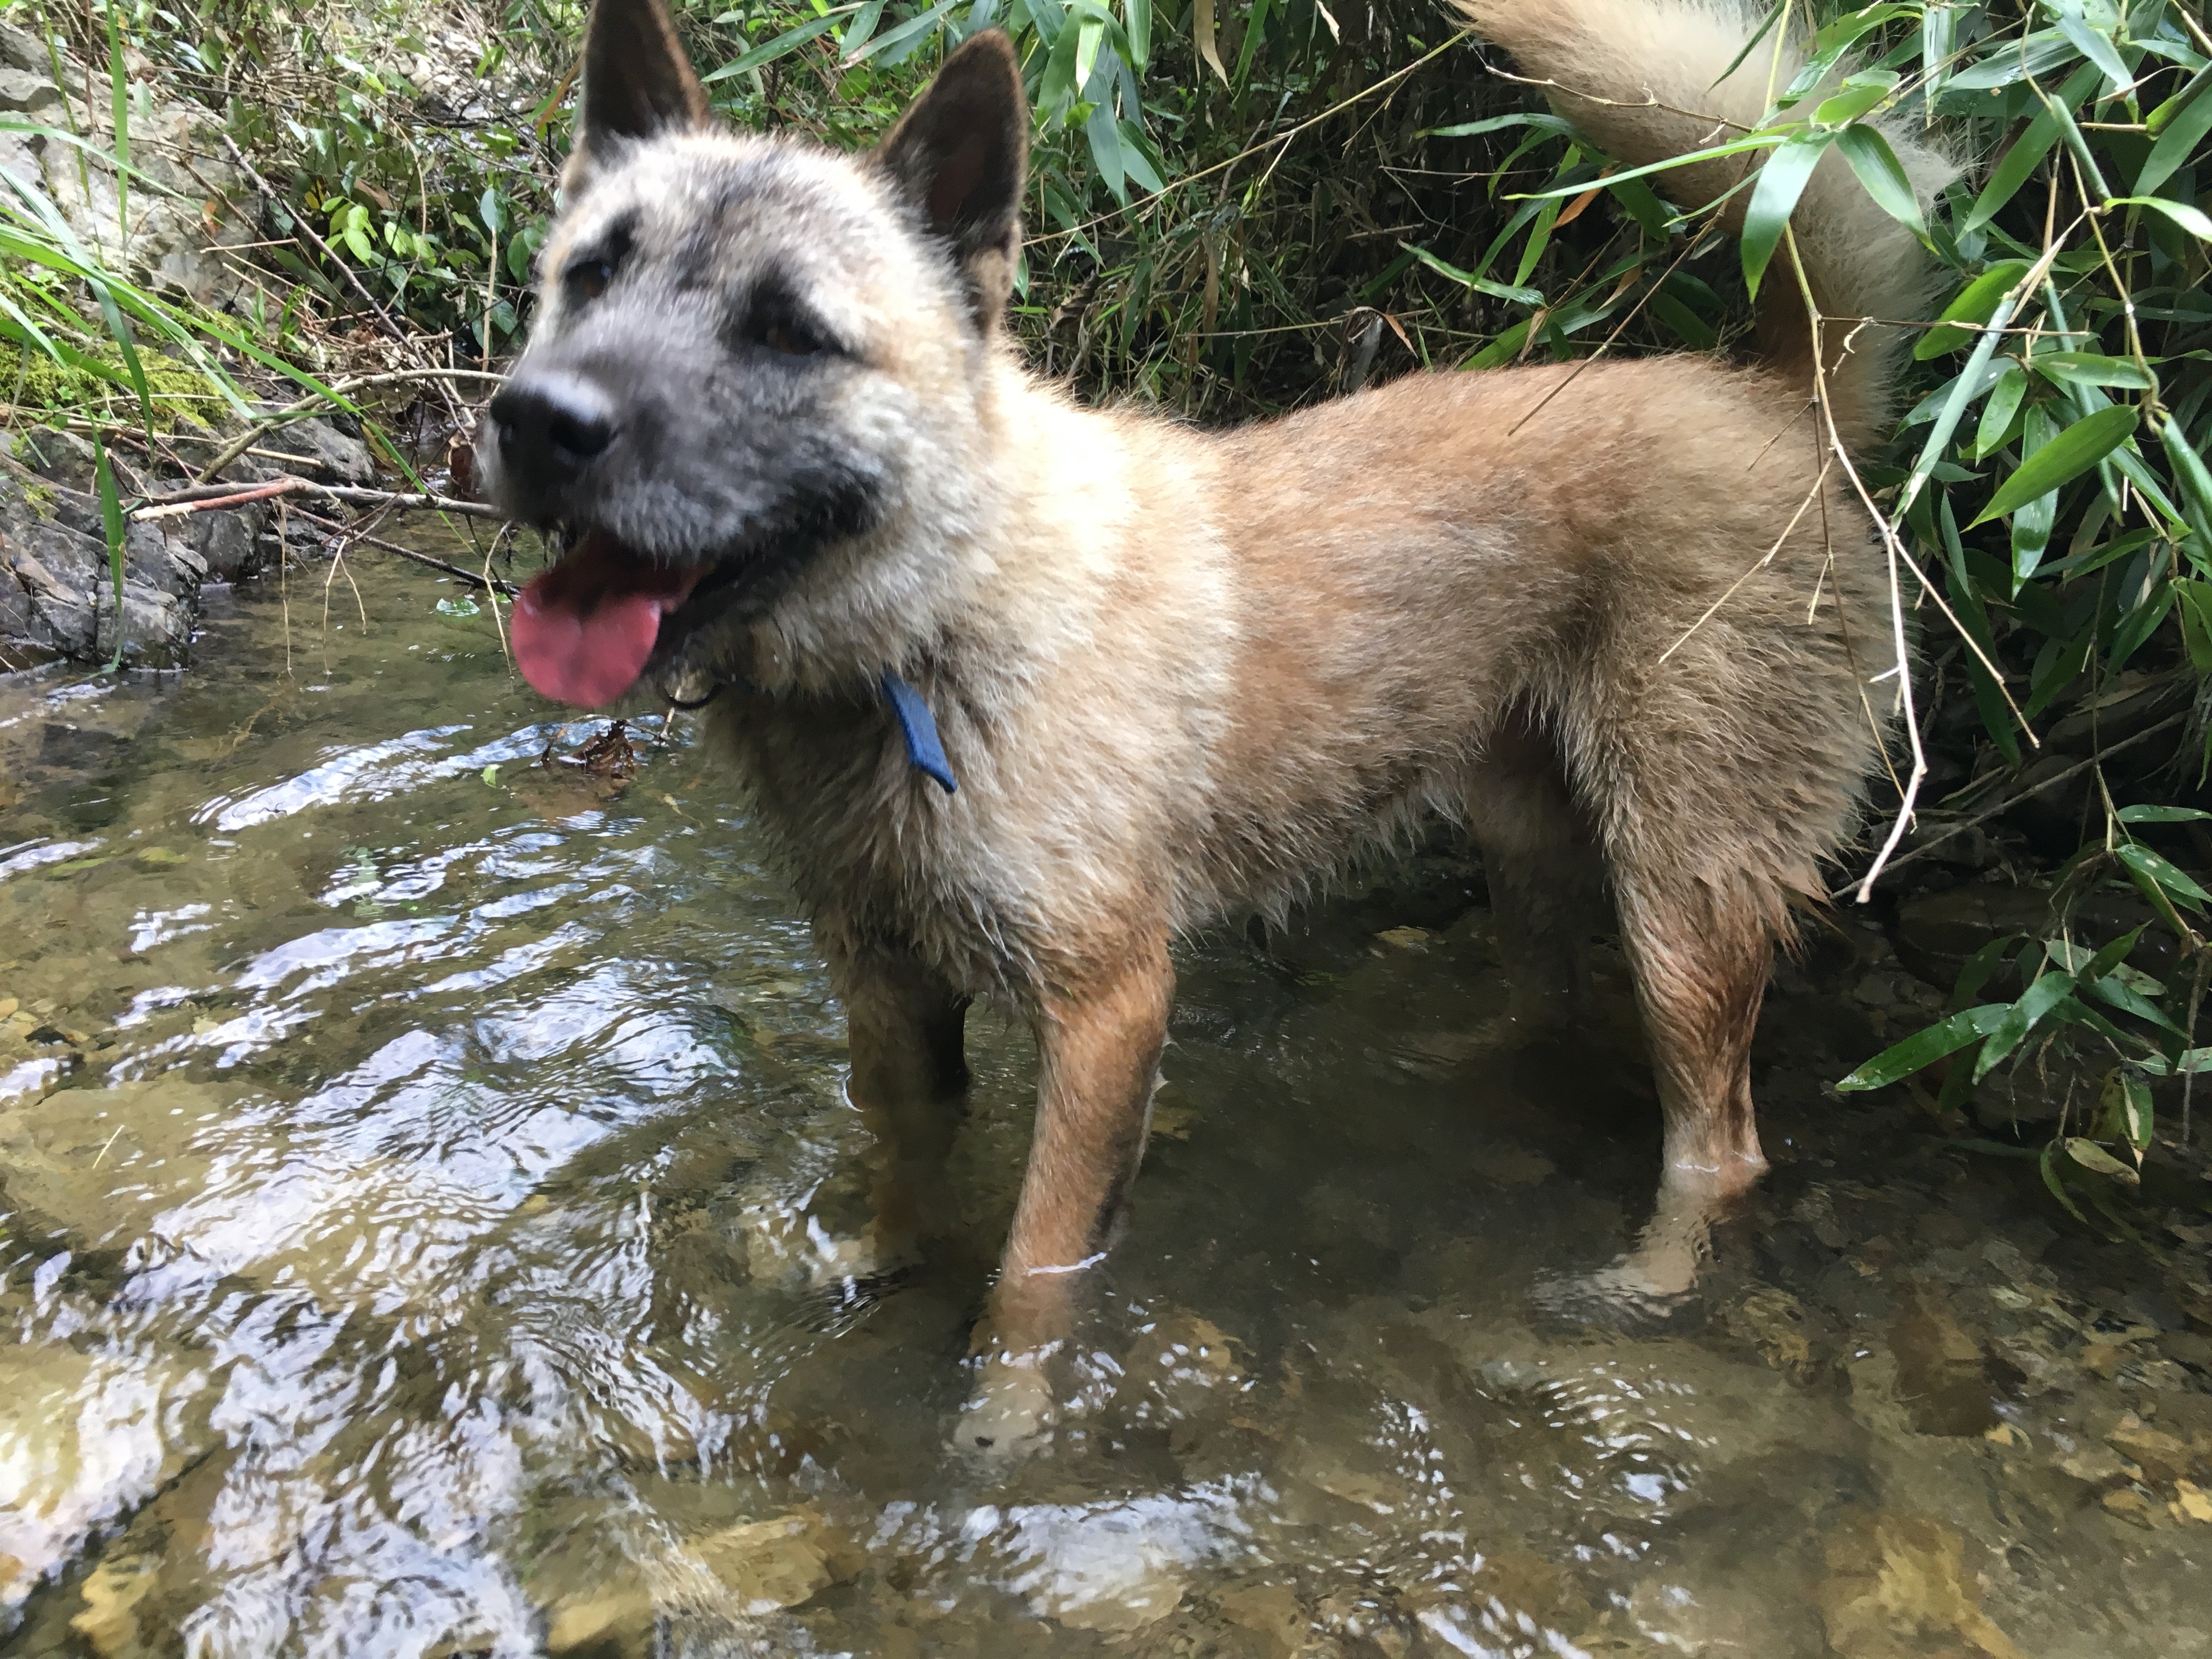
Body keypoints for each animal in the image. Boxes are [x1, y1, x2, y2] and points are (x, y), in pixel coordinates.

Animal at [484, 0, 1955, 1451]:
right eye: (590, 275)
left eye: (790, 332)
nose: (535, 424)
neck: (938, 619)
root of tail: (1778, 401)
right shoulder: (885, 978)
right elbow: (906, 1156)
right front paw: (871, 1265)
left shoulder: (1107, 1011)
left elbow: (1034, 1264)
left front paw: (1003, 1427)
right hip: (1522, 824)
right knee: (1550, 996)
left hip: (1683, 893)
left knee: (1720, 1142)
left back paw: (1642, 1285)